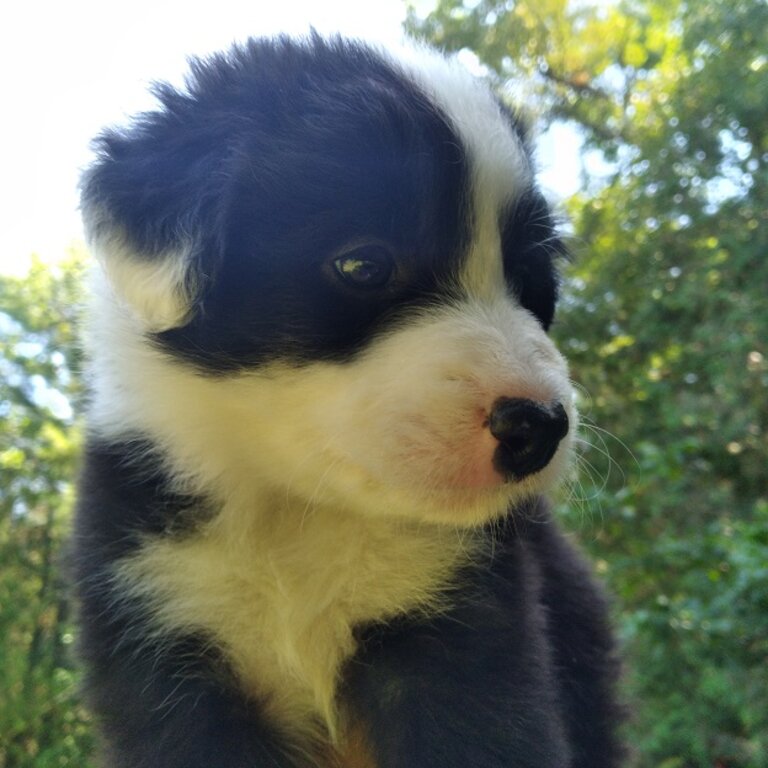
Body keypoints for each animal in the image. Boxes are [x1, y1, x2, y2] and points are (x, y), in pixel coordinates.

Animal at [73, 33, 624, 764]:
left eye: (531, 278)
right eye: (363, 264)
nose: (538, 426)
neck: (295, 515)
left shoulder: (463, 630)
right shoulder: (164, 635)